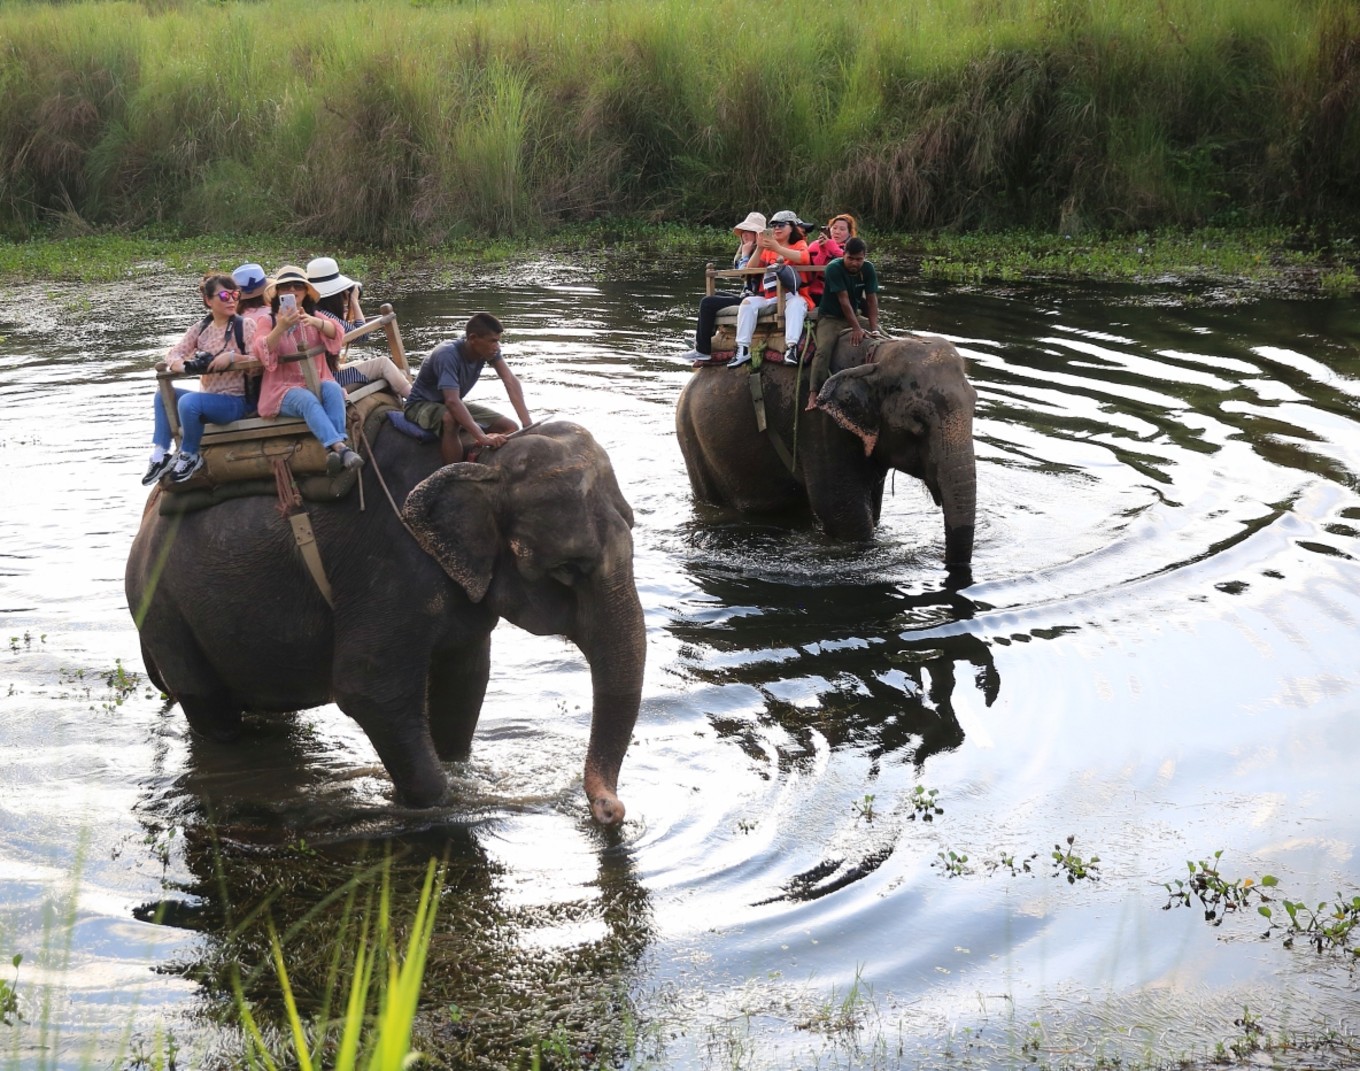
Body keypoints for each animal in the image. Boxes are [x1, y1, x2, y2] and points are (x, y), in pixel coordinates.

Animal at [122, 421, 641, 826]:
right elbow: (371, 691)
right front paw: (438, 805)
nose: (610, 811)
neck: (485, 459)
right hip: (162, 609)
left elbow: (465, 680)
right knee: (210, 711)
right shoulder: (385, 567)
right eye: (569, 569)